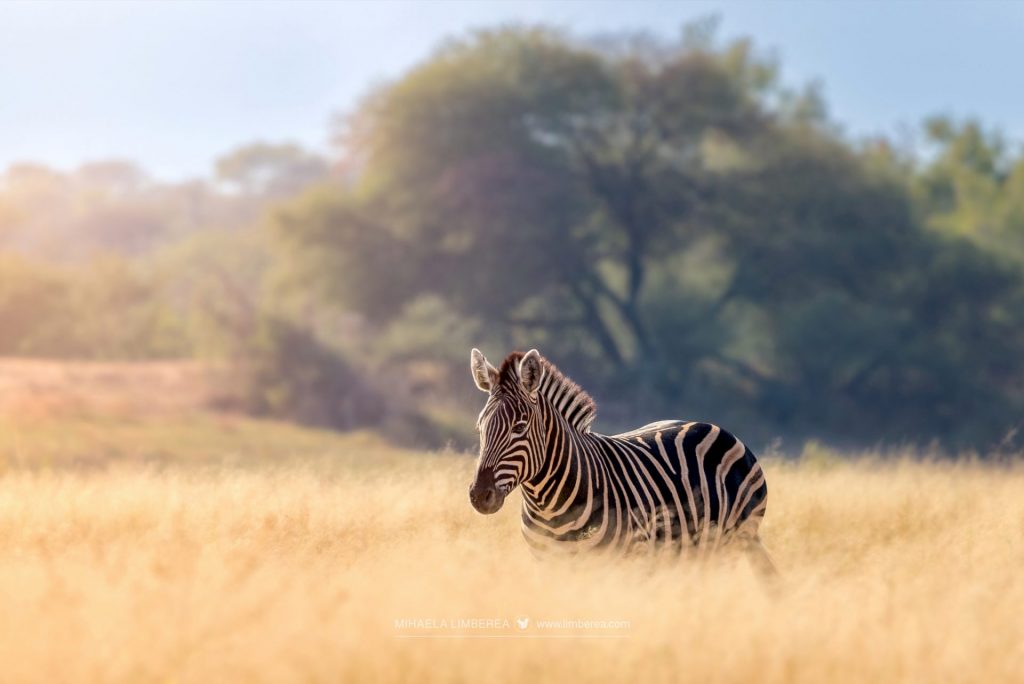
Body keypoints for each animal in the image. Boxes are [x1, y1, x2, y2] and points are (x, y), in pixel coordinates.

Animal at [466, 348, 774, 573]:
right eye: (480, 427)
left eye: (519, 428)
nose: (480, 495)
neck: (550, 508)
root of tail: (710, 425)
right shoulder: (550, 564)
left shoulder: (625, 560)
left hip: (730, 542)